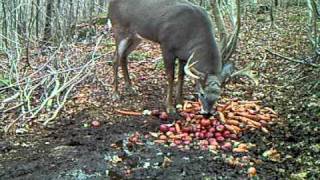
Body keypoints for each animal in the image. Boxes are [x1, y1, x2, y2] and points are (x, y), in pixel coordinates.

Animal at [109, 0, 256, 114]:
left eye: (218, 96)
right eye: (202, 93)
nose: (207, 112)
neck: (192, 35)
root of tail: (110, 5)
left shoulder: (184, 55)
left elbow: (181, 76)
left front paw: (180, 102)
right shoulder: (166, 46)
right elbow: (171, 77)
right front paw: (169, 107)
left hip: (136, 36)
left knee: (124, 57)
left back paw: (131, 88)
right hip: (119, 30)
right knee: (115, 58)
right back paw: (116, 94)